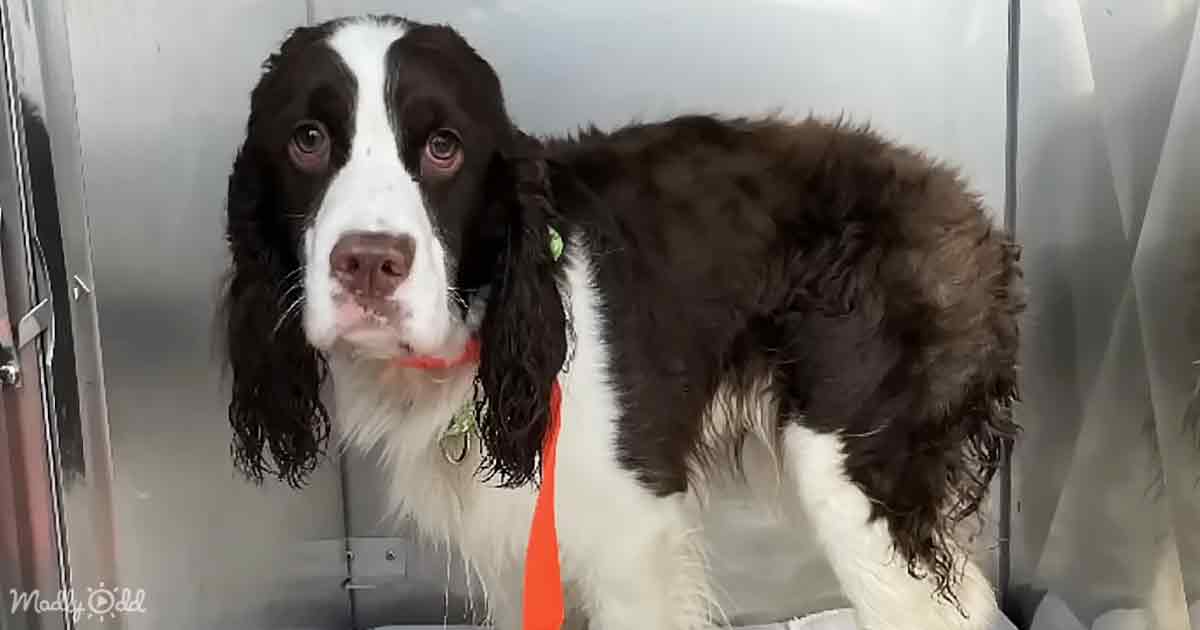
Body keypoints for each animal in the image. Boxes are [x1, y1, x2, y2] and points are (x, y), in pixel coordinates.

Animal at [218, 14, 1022, 628]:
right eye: (307, 139)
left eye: (444, 147)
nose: (368, 262)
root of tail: (971, 214)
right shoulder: (513, 554)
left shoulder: (631, 542)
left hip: (850, 469)